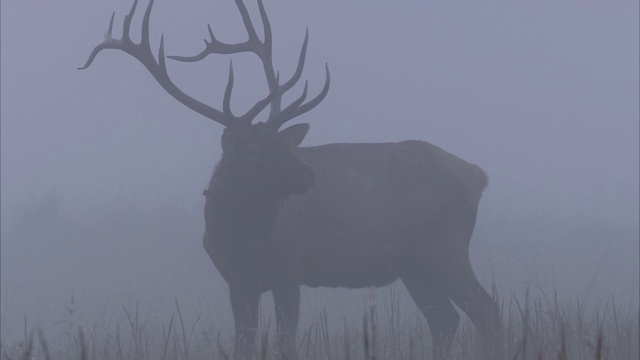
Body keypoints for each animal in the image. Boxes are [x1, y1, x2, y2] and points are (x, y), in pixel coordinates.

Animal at [80, 0, 502, 358]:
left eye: (284, 143)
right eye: (254, 153)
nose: (307, 174)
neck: (239, 237)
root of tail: (478, 175)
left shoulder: (288, 271)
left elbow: (285, 343)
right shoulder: (237, 281)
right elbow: (244, 344)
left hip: (444, 248)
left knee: (485, 310)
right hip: (414, 265)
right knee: (445, 320)